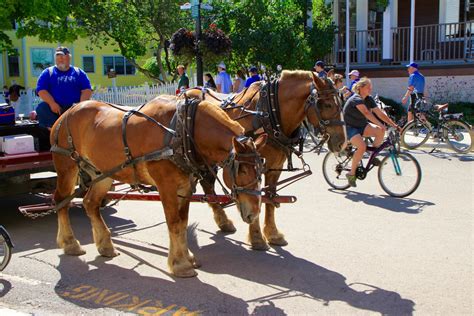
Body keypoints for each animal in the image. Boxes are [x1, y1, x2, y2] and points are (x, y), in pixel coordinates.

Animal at [51, 97, 268, 278]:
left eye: (261, 168)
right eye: (242, 170)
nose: (254, 213)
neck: (182, 130)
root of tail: (68, 112)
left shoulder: (185, 187)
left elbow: (182, 223)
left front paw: (187, 257)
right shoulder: (166, 186)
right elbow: (173, 222)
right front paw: (180, 265)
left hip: (101, 174)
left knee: (90, 203)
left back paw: (105, 246)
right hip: (67, 167)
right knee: (61, 201)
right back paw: (70, 244)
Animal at [183, 70, 346, 251]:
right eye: (328, 105)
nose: (342, 143)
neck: (269, 112)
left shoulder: (275, 166)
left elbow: (269, 198)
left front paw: (273, 234)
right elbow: (255, 195)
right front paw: (257, 237)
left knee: (207, 184)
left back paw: (223, 221)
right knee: (207, 184)